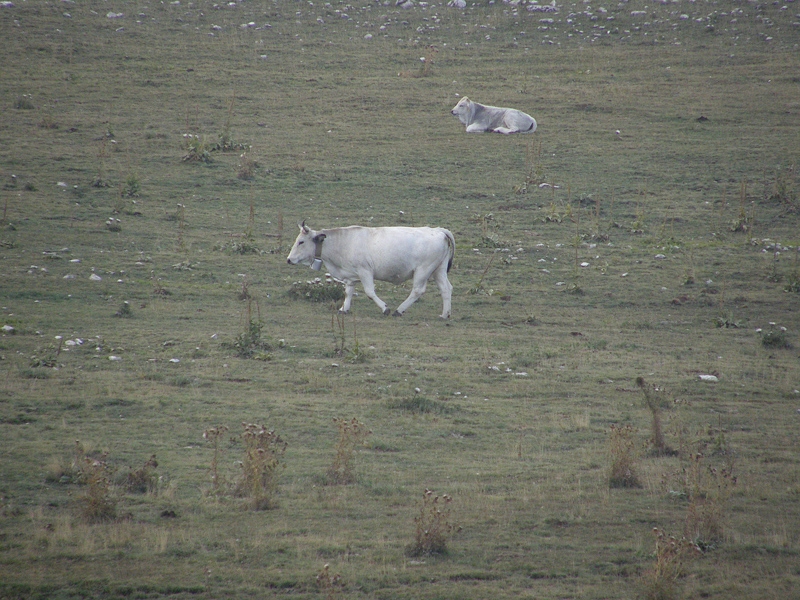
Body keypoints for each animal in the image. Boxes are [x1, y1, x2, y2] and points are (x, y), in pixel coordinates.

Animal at [288, 223, 454, 318]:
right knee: (446, 288)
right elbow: (348, 292)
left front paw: (385, 308)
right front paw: (343, 309)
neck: (343, 242)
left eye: (301, 242)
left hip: (423, 270)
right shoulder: (350, 275)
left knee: (417, 291)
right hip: (438, 270)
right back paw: (445, 314)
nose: (289, 260)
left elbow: (369, 292)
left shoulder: (365, 271)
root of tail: (438, 230)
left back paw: (399, 310)